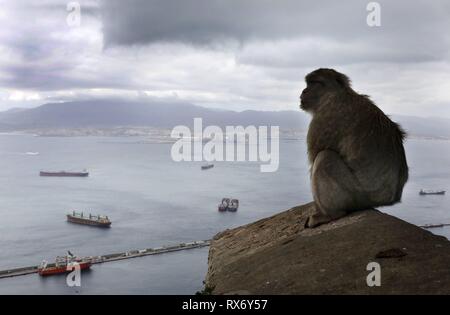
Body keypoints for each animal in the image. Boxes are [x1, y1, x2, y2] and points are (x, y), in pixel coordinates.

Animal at [298, 69, 408, 228]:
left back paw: (330, 214)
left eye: (314, 83)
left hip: (357, 195)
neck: (337, 93)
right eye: (308, 83)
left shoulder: (324, 115)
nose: (304, 91)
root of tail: (389, 199)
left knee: (325, 157)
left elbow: (314, 158)